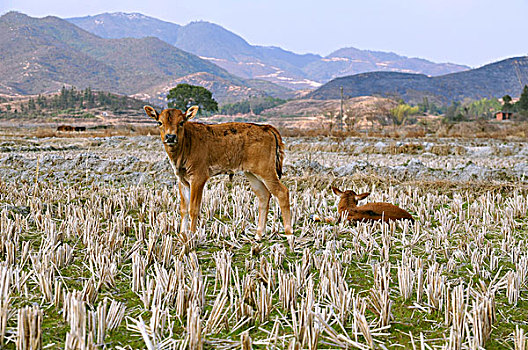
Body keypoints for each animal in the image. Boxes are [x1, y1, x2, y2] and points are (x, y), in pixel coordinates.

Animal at [144, 105, 292, 239]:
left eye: (181, 122)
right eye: (159, 122)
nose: (170, 137)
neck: (186, 143)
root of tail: (265, 127)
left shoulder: (198, 178)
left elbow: (193, 209)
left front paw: (192, 236)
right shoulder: (182, 180)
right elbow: (183, 209)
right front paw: (182, 235)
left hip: (266, 171)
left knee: (282, 192)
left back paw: (289, 235)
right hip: (252, 173)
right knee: (264, 195)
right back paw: (259, 234)